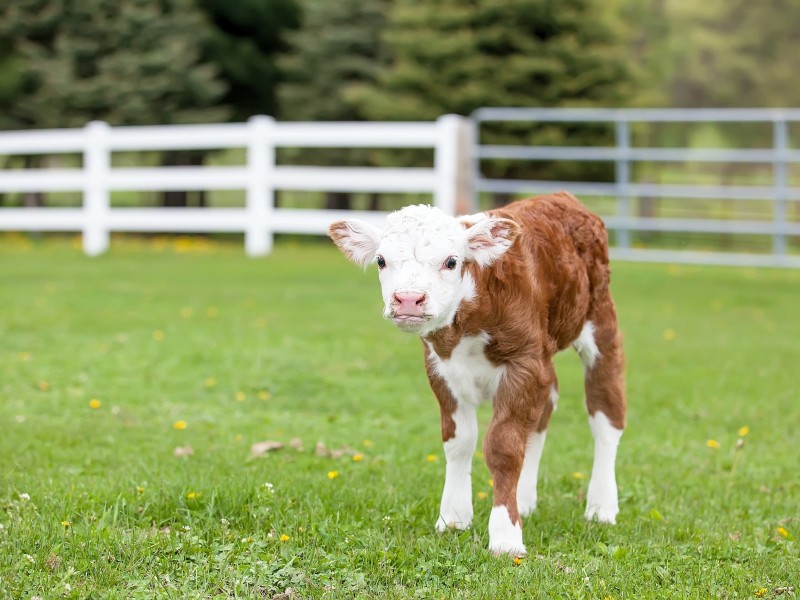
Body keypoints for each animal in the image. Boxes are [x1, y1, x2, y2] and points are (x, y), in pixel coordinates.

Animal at [328, 195, 628, 556]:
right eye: (381, 260)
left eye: (451, 261)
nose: (408, 300)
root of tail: (560, 197)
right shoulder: (441, 369)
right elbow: (459, 442)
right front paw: (454, 517)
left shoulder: (524, 364)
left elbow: (503, 446)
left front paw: (505, 536)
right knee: (544, 407)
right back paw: (525, 499)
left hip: (600, 323)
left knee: (606, 413)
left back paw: (601, 506)